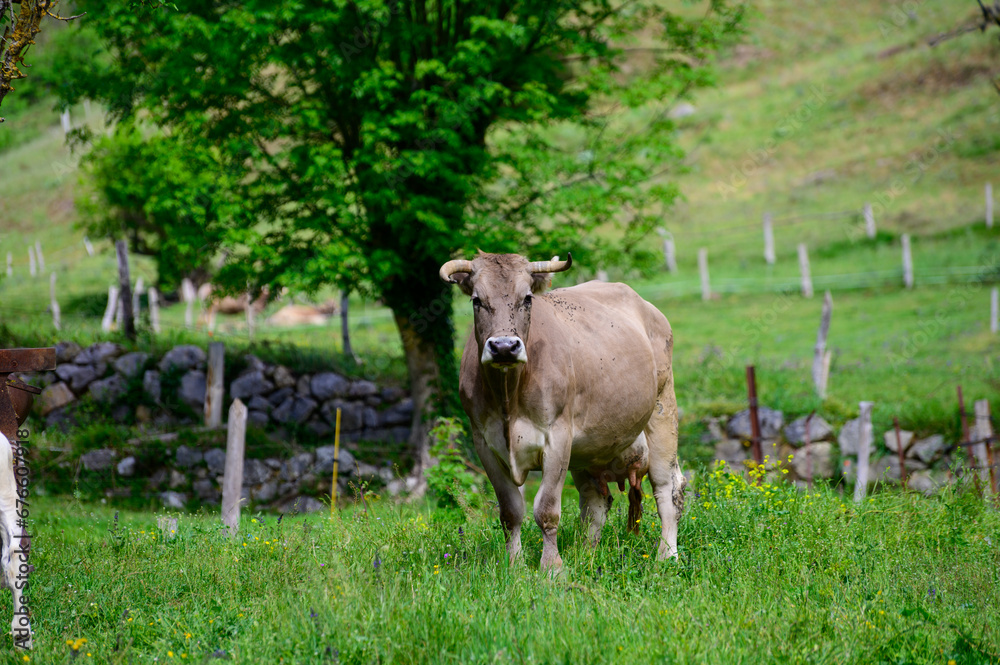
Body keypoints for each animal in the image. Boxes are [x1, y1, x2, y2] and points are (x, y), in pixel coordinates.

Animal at [442, 252, 684, 568]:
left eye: (527, 298)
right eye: (476, 300)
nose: (504, 347)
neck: (509, 397)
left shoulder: (557, 437)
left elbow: (546, 510)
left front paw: (552, 568)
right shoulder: (485, 444)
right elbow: (510, 511)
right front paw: (514, 566)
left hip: (662, 409)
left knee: (667, 488)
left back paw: (667, 555)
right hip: (590, 450)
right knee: (595, 502)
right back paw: (586, 554)